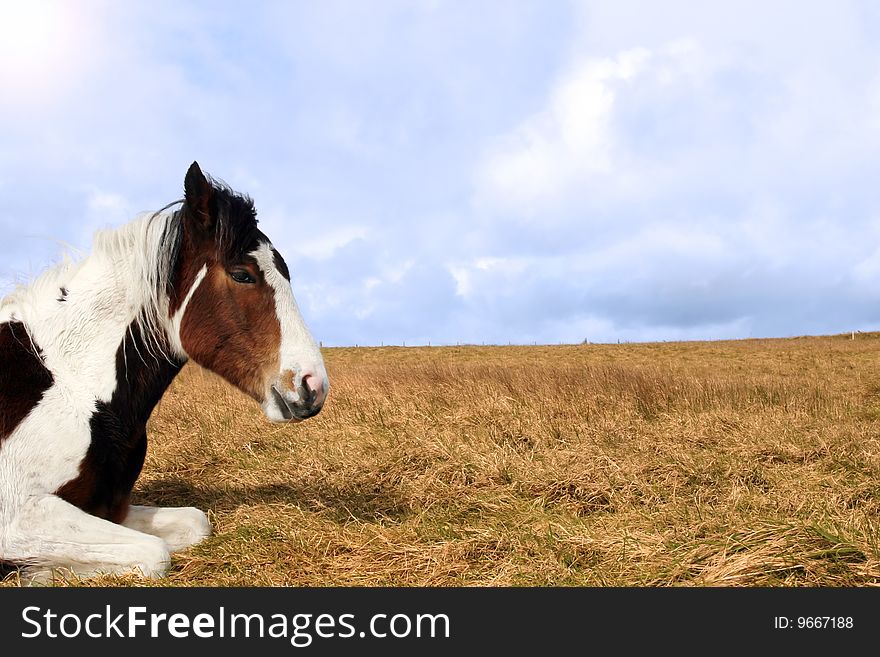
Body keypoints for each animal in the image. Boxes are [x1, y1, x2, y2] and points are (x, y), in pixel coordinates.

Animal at [0, 163, 330, 580]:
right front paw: (41, 572)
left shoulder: (111, 508)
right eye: (242, 274)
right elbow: (155, 554)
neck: (74, 388)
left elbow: (193, 523)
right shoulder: (17, 518)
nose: (313, 385)